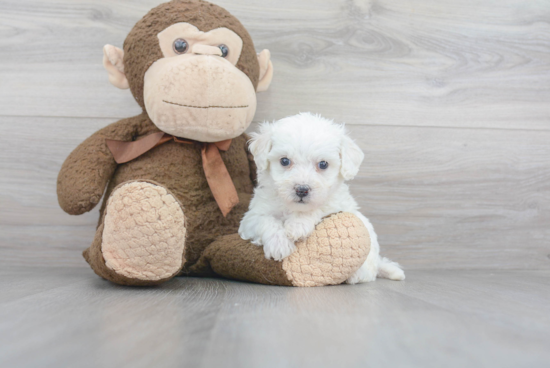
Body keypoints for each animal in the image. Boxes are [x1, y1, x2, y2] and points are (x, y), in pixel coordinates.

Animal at [239, 113, 408, 284]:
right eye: (284, 161)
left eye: (323, 164)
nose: (302, 189)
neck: (294, 208)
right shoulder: (250, 218)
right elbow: (265, 220)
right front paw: (279, 244)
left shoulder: (338, 205)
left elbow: (321, 207)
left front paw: (298, 225)